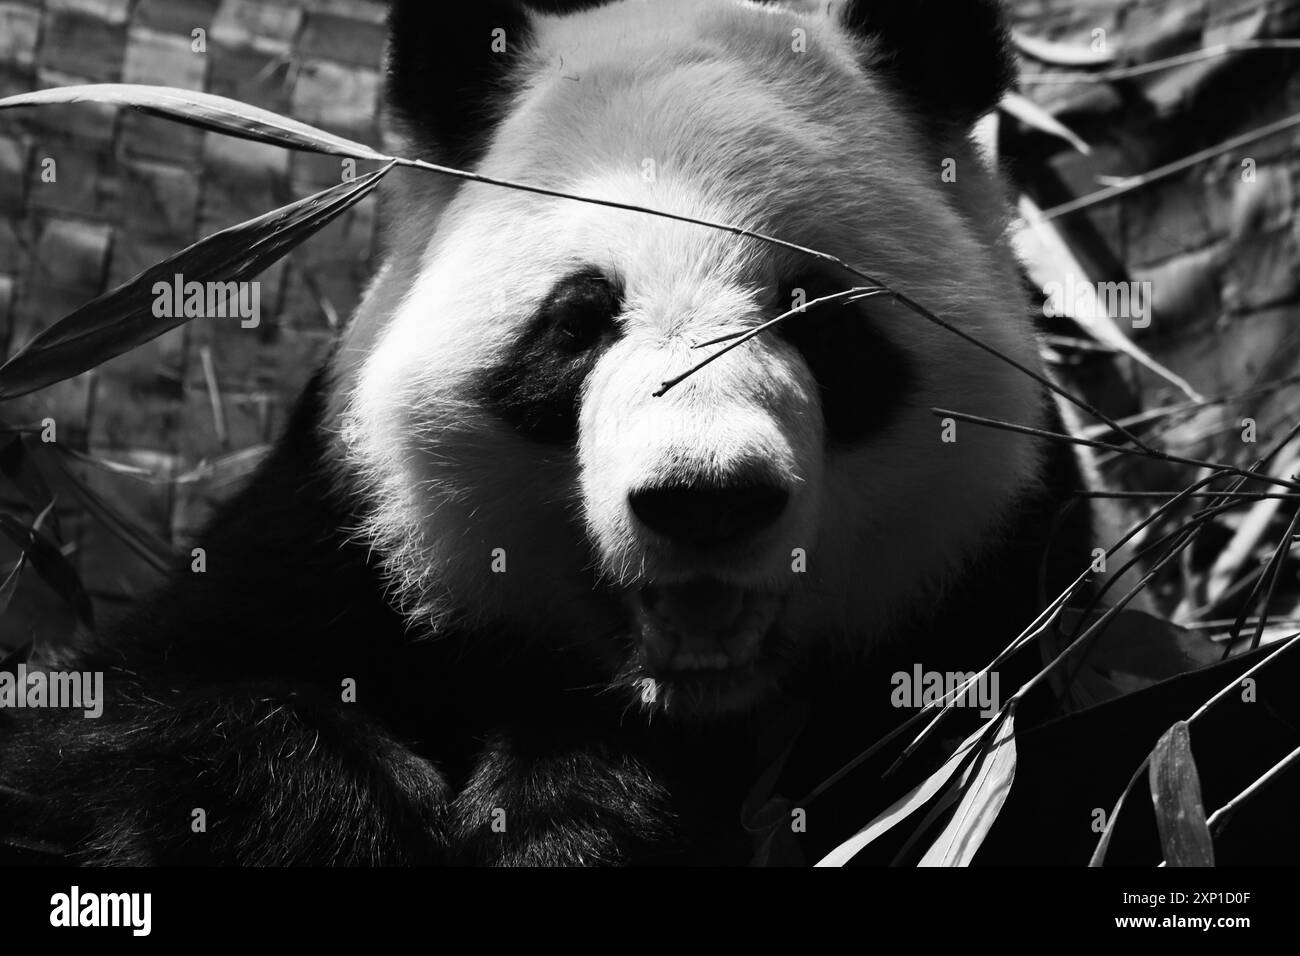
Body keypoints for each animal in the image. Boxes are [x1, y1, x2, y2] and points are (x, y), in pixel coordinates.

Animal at [0, 0, 1092, 866]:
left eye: (815, 317)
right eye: (579, 322)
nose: (706, 497)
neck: (678, 698)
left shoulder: (997, 594)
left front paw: (580, 809)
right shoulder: (331, 528)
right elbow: (115, 725)